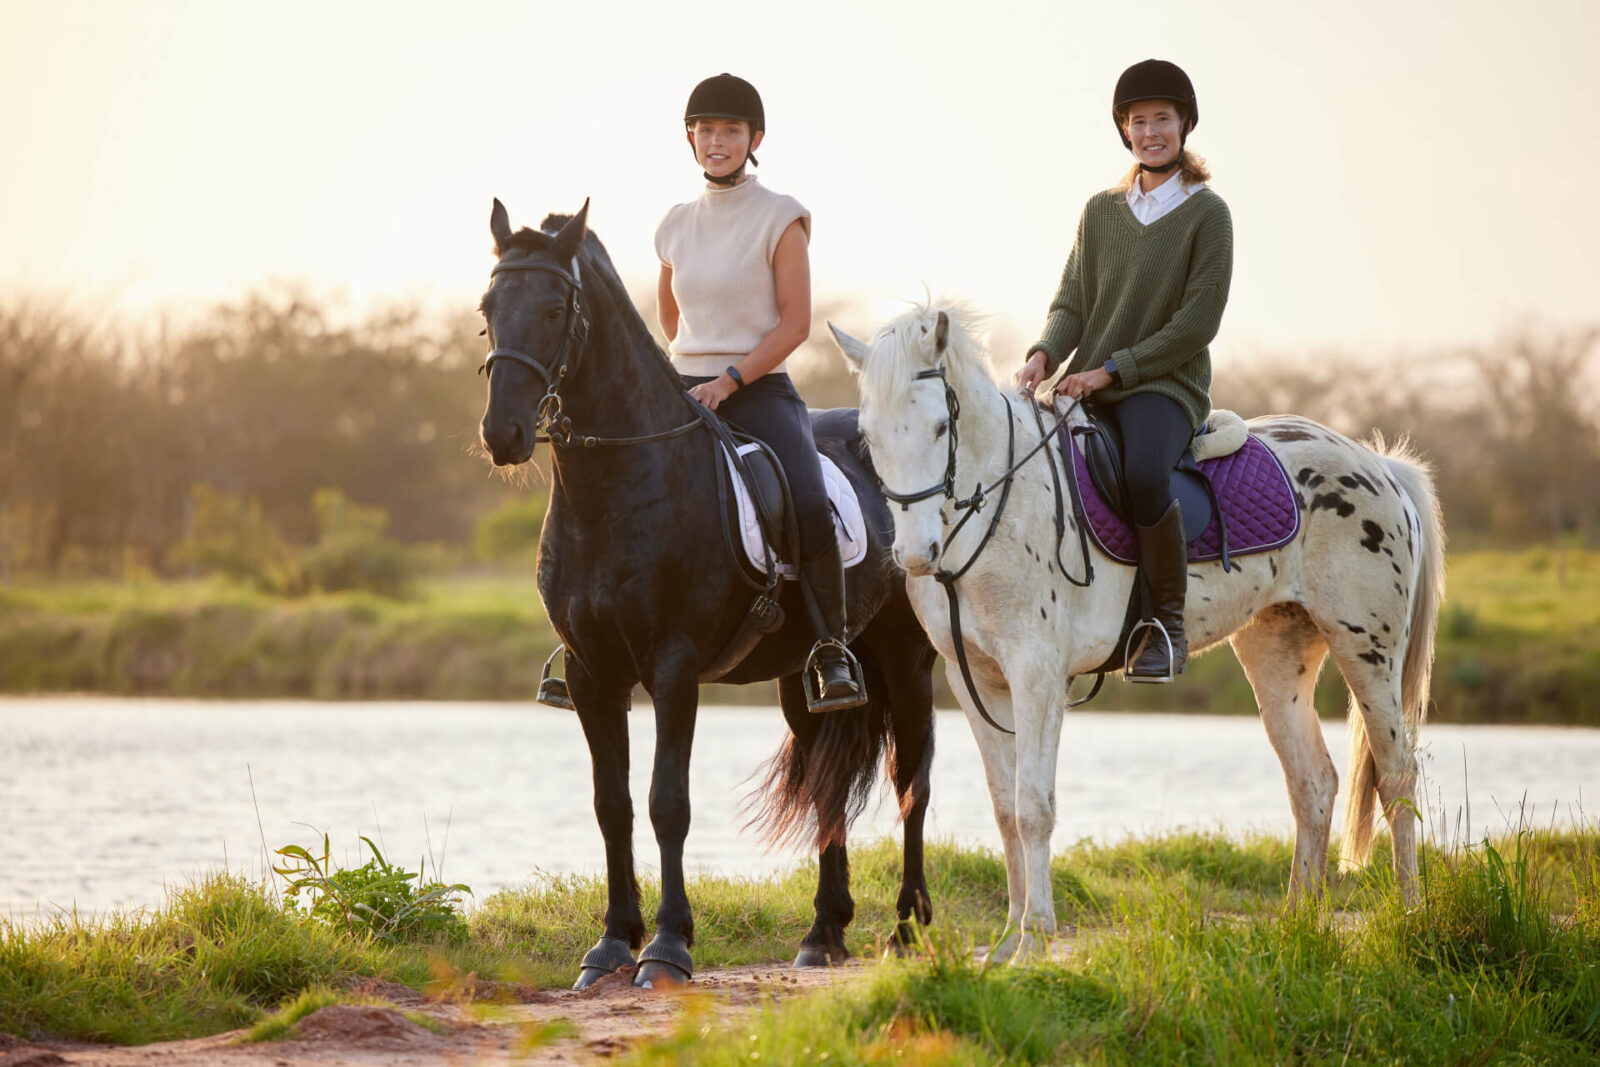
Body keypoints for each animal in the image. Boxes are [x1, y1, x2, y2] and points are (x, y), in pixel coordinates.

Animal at [476, 200, 938, 988]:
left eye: (554, 309)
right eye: (488, 309)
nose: (502, 433)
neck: (620, 484)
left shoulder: (674, 667)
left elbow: (668, 801)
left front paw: (666, 946)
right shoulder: (593, 673)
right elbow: (612, 804)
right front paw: (610, 943)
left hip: (906, 657)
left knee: (913, 779)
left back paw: (907, 928)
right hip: (805, 677)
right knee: (827, 780)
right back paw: (824, 932)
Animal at [831, 301, 1445, 962]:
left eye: (942, 427)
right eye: (869, 436)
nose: (916, 556)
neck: (997, 505)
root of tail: (1378, 466)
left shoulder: (1037, 674)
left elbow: (1033, 807)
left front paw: (1034, 939)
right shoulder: (977, 681)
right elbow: (1003, 808)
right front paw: (1006, 942)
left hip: (1367, 652)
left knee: (1396, 775)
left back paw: (1411, 917)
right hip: (1277, 654)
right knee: (1313, 782)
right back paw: (1296, 924)